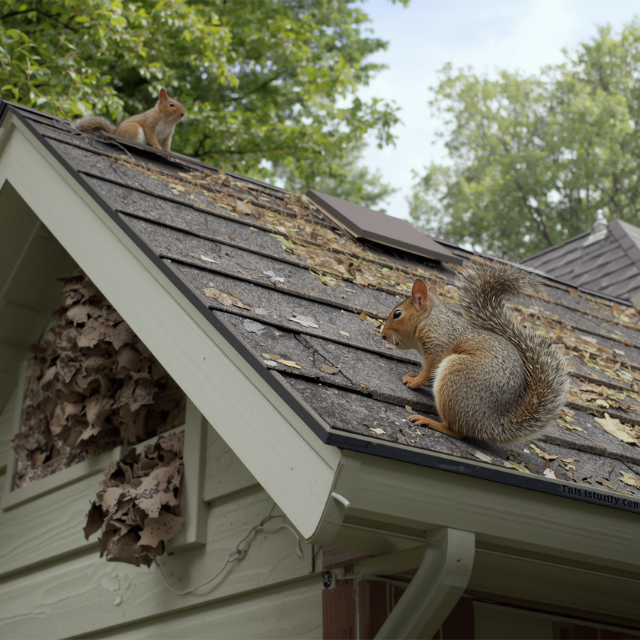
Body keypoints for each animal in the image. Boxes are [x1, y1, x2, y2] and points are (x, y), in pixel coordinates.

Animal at [381, 259, 569, 443]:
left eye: (397, 314)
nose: (383, 335)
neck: (430, 319)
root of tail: (490, 426)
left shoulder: (438, 344)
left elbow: (428, 371)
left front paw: (414, 381)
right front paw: (414, 375)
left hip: (456, 376)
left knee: (456, 431)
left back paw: (429, 422)